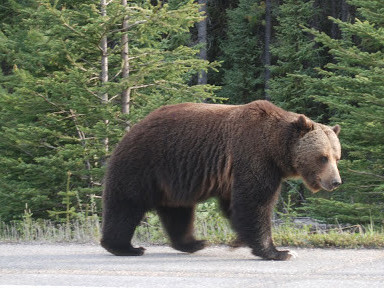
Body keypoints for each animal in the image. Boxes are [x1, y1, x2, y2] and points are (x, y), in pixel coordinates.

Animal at [100, 100, 342, 260]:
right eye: (323, 157)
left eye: (337, 156)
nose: (336, 181)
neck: (275, 148)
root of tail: (132, 128)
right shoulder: (254, 156)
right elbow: (255, 202)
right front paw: (279, 251)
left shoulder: (234, 172)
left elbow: (235, 205)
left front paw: (241, 240)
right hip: (144, 163)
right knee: (127, 204)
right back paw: (125, 247)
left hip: (173, 177)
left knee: (178, 210)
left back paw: (193, 243)